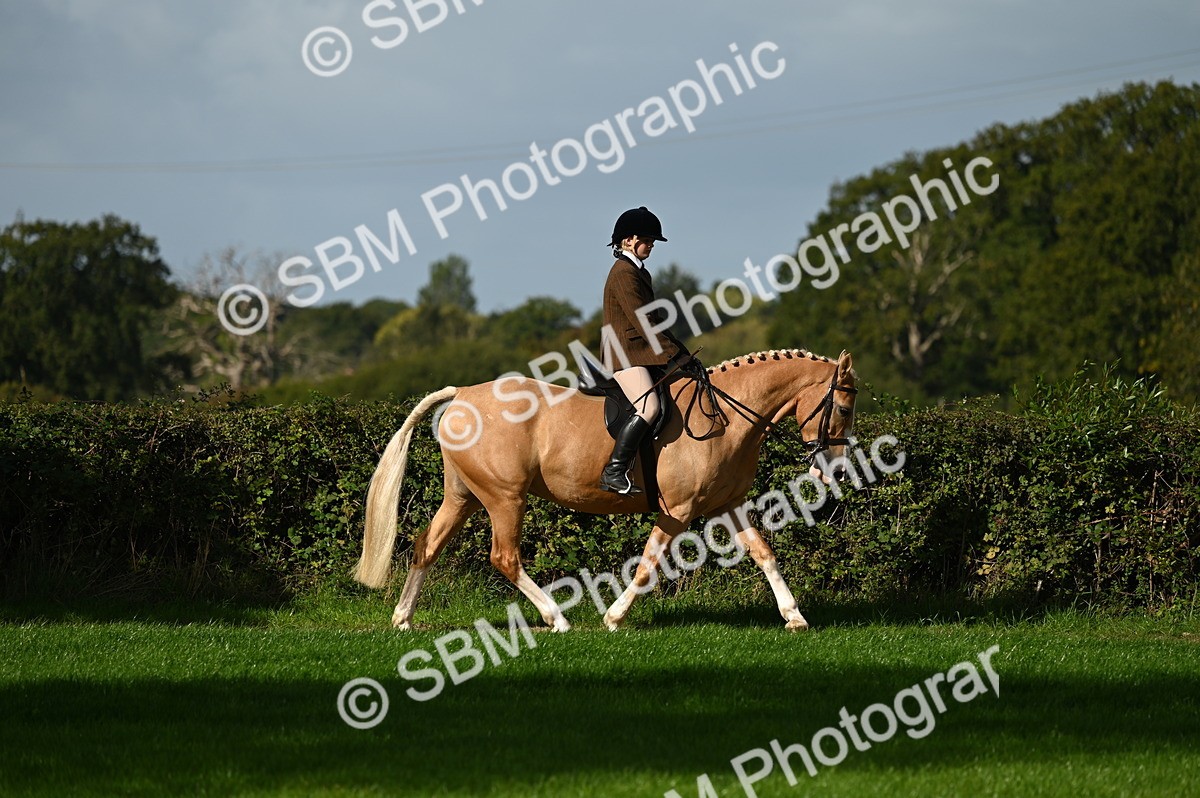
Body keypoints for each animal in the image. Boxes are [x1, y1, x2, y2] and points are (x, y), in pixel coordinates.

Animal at [355, 348, 858, 632]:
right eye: (844, 407)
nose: (833, 470)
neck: (727, 417)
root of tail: (461, 395)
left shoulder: (727, 506)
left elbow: (764, 553)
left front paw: (794, 617)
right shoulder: (677, 511)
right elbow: (648, 567)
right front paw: (613, 618)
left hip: (464, 496)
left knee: (427, 545)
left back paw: (402, 619)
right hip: (504, 498)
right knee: (505, 558)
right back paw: (557, 619)